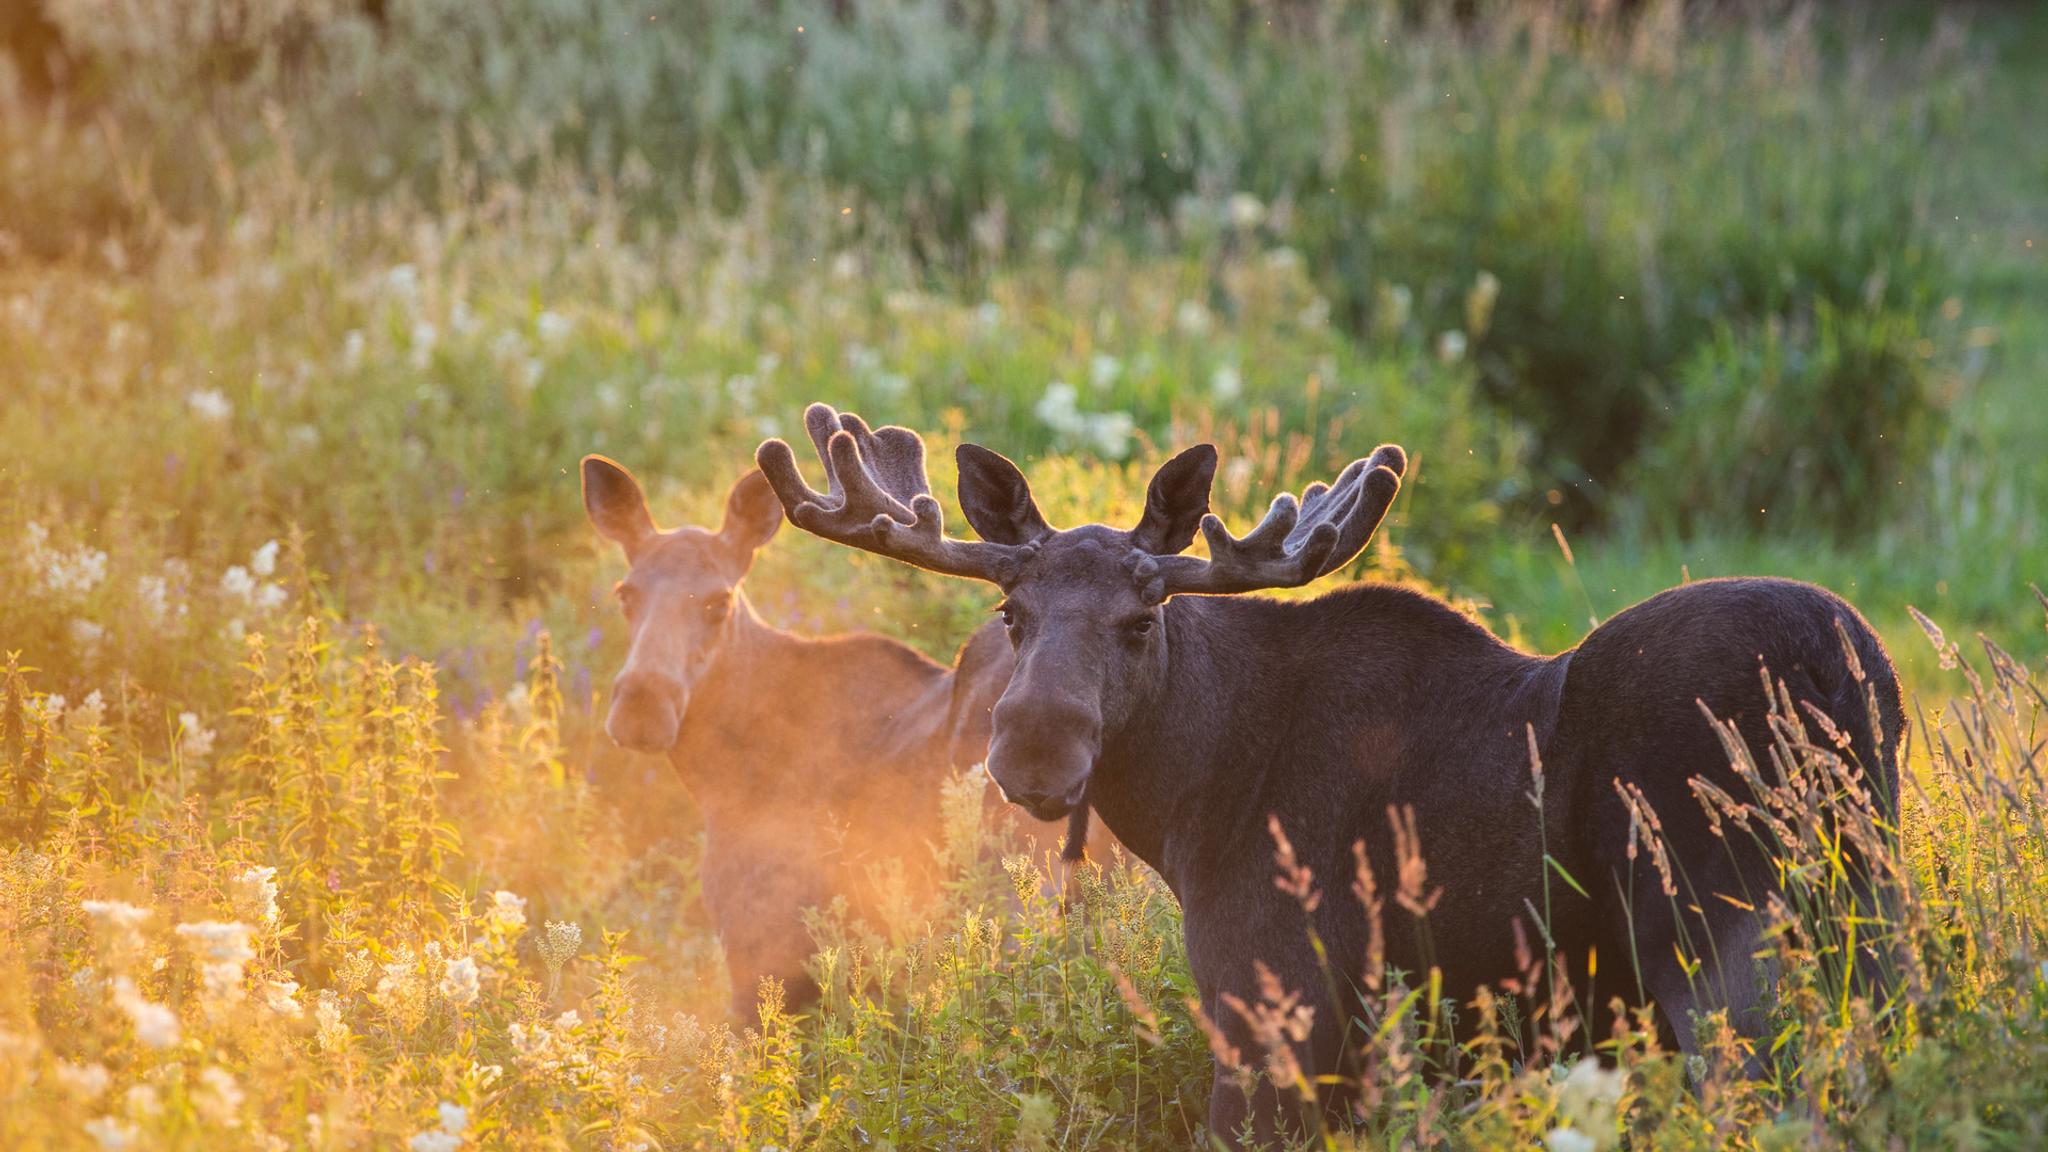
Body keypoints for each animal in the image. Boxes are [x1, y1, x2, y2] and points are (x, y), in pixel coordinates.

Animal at [757, 403, 1903, 1144]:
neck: (1190, 802)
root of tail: (1843, 665)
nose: (1035, 752)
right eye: (1011, 612)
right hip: (1866, 921)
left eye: (1141, 619)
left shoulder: (1275, 1010)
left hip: (1726, 947)